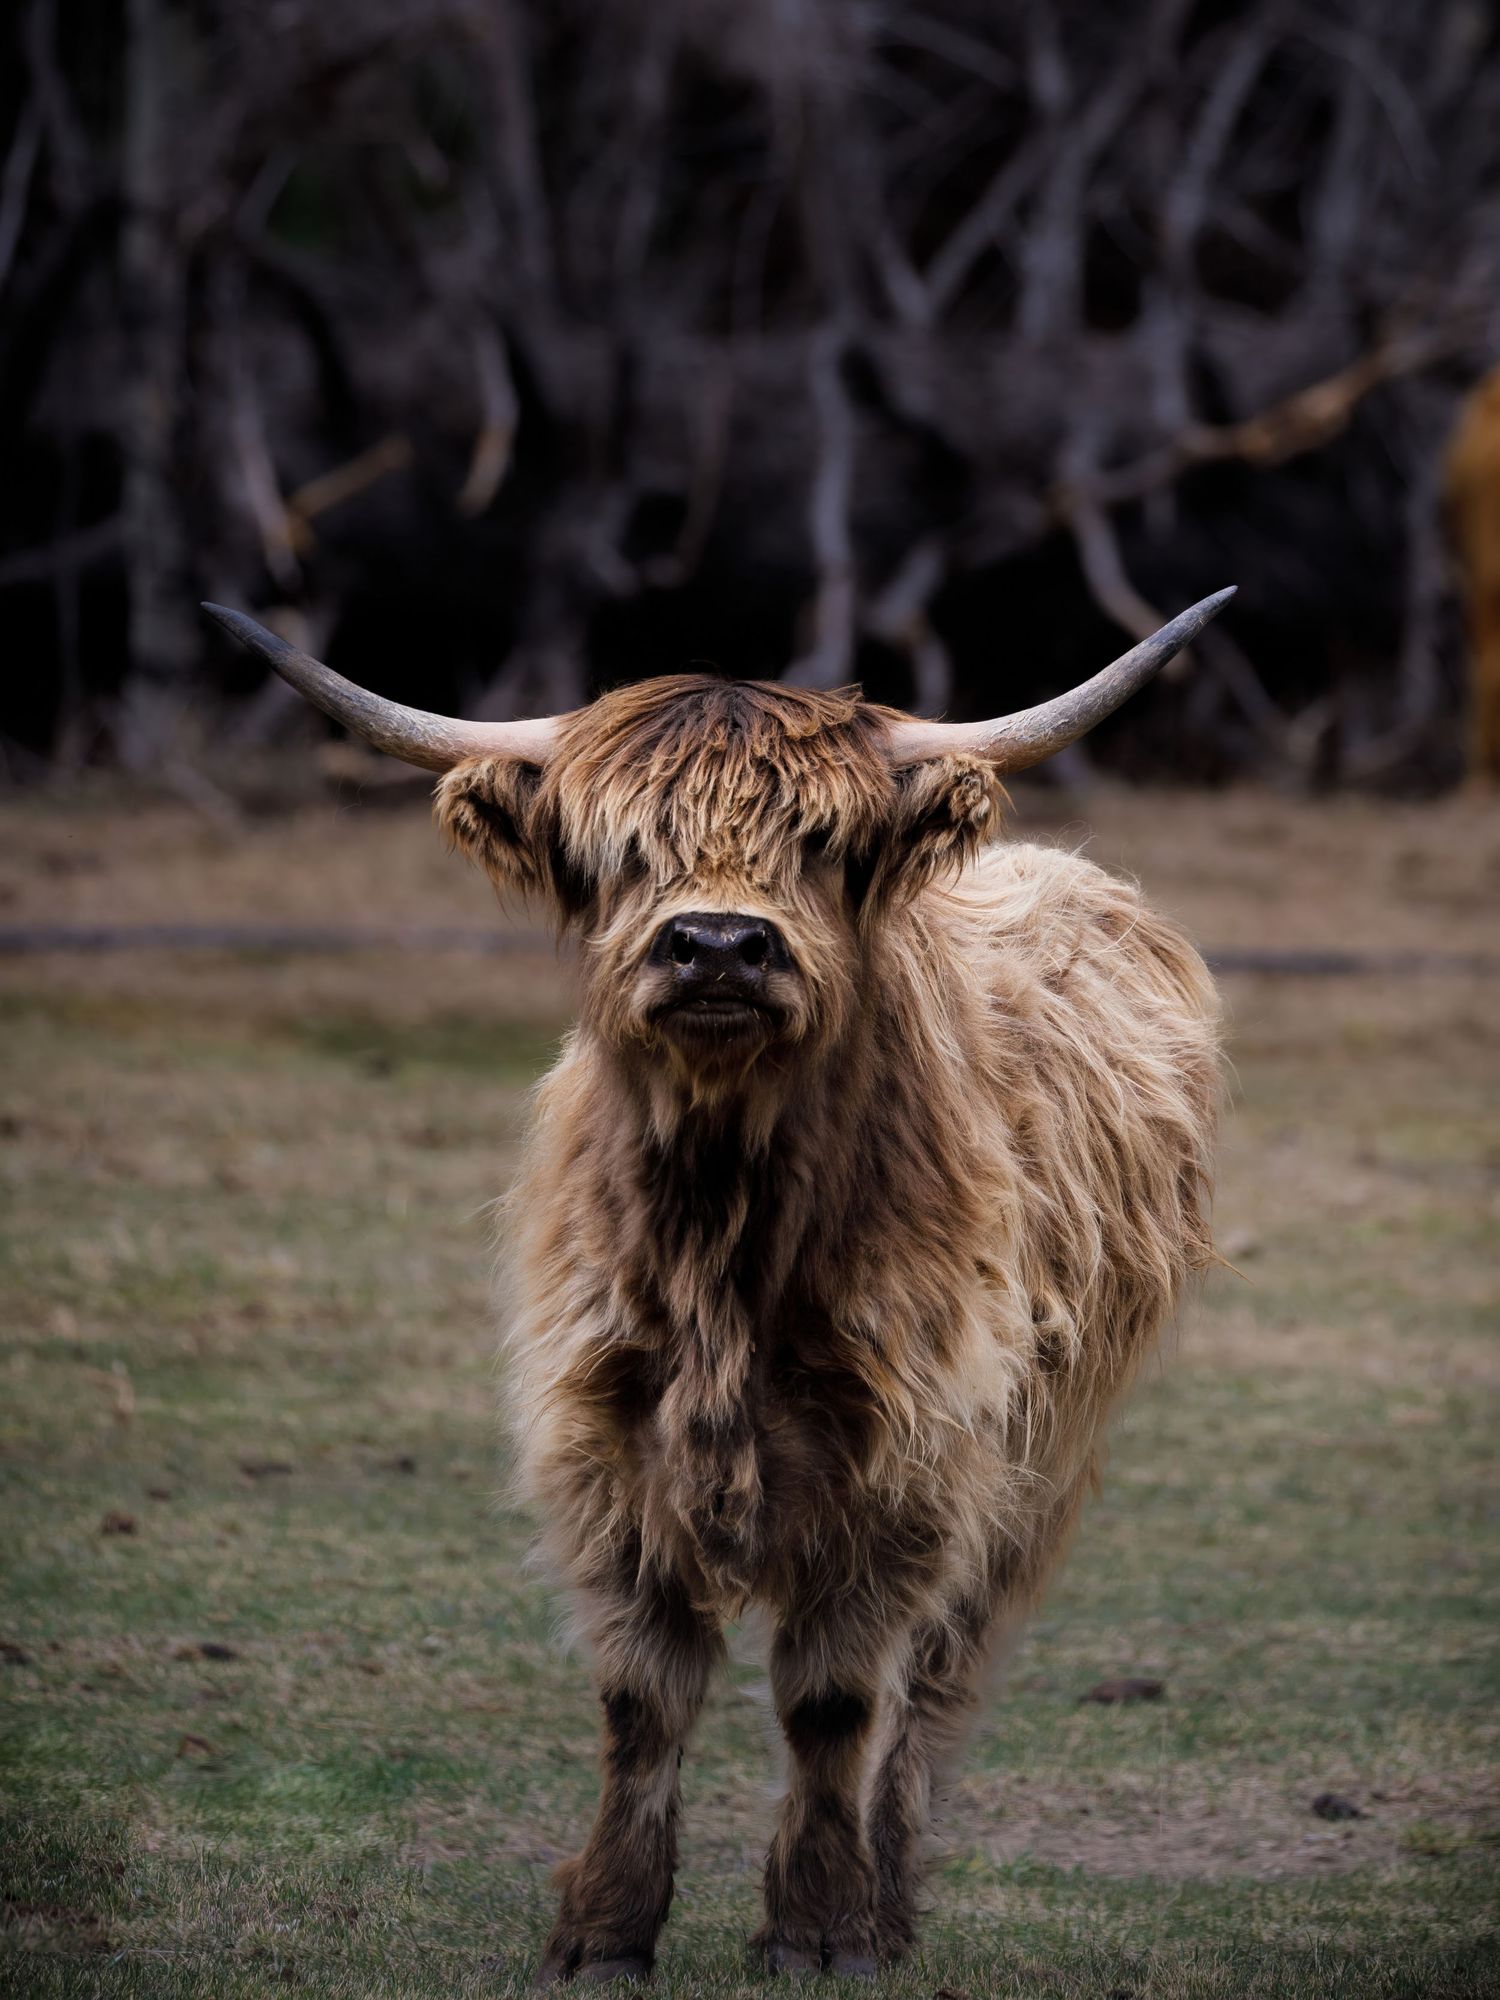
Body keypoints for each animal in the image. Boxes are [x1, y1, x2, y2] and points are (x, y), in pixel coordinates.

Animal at [205, 592, 1229, 1983]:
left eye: (821, 842)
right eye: (624, 847)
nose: (720, 945)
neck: (723, 1235)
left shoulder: (907, 1465)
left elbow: (834, 1696)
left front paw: (822, 1926)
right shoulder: (603, 1443)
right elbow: (642, 1697)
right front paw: (604, 1930)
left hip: (1037, 1466)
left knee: (939, 1682)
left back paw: (893, 1899)